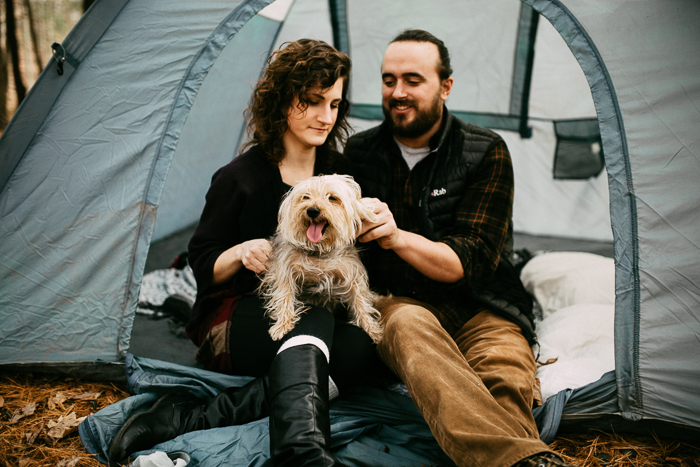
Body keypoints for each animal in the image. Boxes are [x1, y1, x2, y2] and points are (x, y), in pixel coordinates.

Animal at [260, 175, 386, 344]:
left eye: (332, 198)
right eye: (306, 197)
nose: (312, 210)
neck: (319, 249)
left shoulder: (351, 273)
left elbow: (360, 300)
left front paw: (371, 328)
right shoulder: (285, 269)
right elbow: (284, 295)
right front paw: (282, 325)